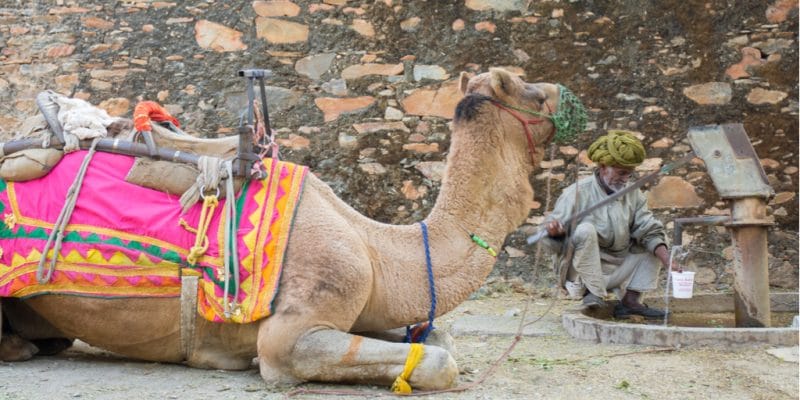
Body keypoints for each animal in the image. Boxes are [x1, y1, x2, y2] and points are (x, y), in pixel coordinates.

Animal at [1, 69, 568, 390]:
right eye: (532, 92)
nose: (563, 90)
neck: (375, 246)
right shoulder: (294, 331)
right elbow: (438, 361)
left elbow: (441, 337)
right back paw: (19, 348)